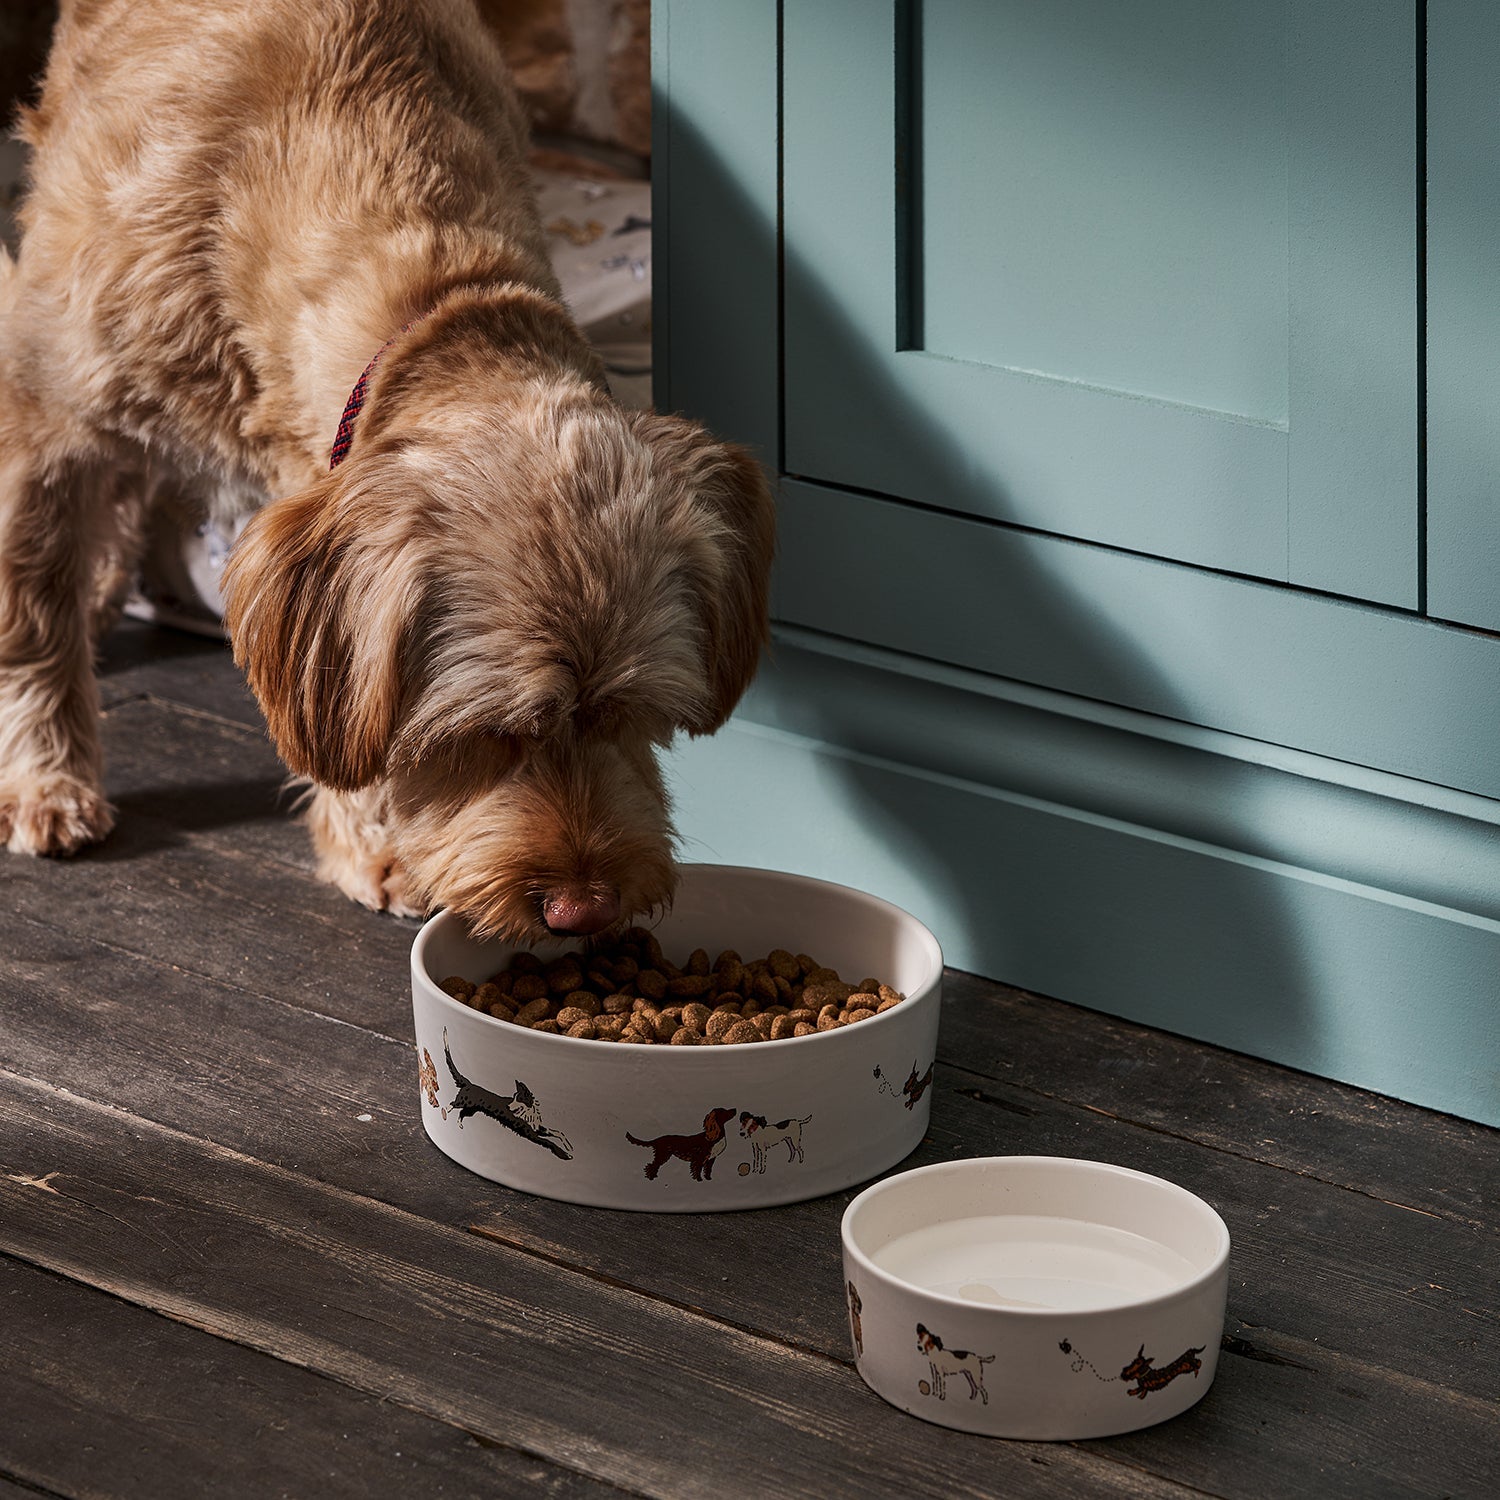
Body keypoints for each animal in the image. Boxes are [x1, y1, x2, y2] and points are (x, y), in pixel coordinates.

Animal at [0, 0, 774, 936]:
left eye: (633, 714)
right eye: (487, 732)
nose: (580, 912)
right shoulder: (42, 411)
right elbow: (32, 616)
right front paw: (45, 781)